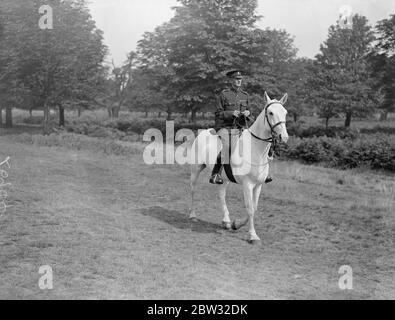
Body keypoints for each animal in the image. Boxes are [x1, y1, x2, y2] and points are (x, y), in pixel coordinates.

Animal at [190, 92, 290, 245]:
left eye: (285, 112)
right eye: (271, 113)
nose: (283, 137)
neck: (255, 149)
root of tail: (203, 133)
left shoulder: (258, 185)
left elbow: (254, 208)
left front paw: (235, 224)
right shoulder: (247, 185)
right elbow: (250, 209)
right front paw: (253, 236)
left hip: (224, 179)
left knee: (221, 195)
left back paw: (226, 221)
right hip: (196, 170)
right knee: (193, 190)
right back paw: (192, 215)